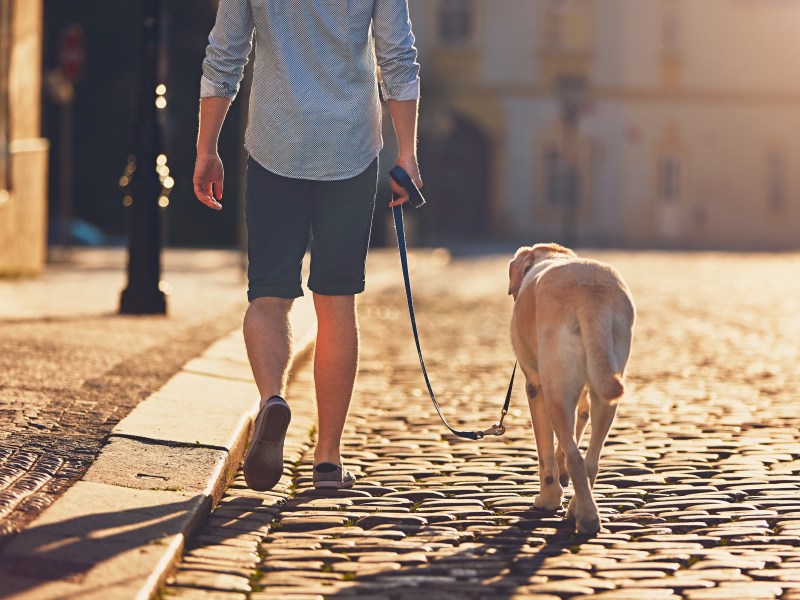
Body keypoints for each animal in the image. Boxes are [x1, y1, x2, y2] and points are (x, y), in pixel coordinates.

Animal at [510, 244, 636, 536]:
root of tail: (590, 294)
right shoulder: (582, 393)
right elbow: (578, 424)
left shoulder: (535, 385)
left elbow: (545, 451)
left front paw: (548, 498)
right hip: (606, 387)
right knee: (590, 459)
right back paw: (579, 508)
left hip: (555, 388)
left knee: (575, 456)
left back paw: (585, 516)